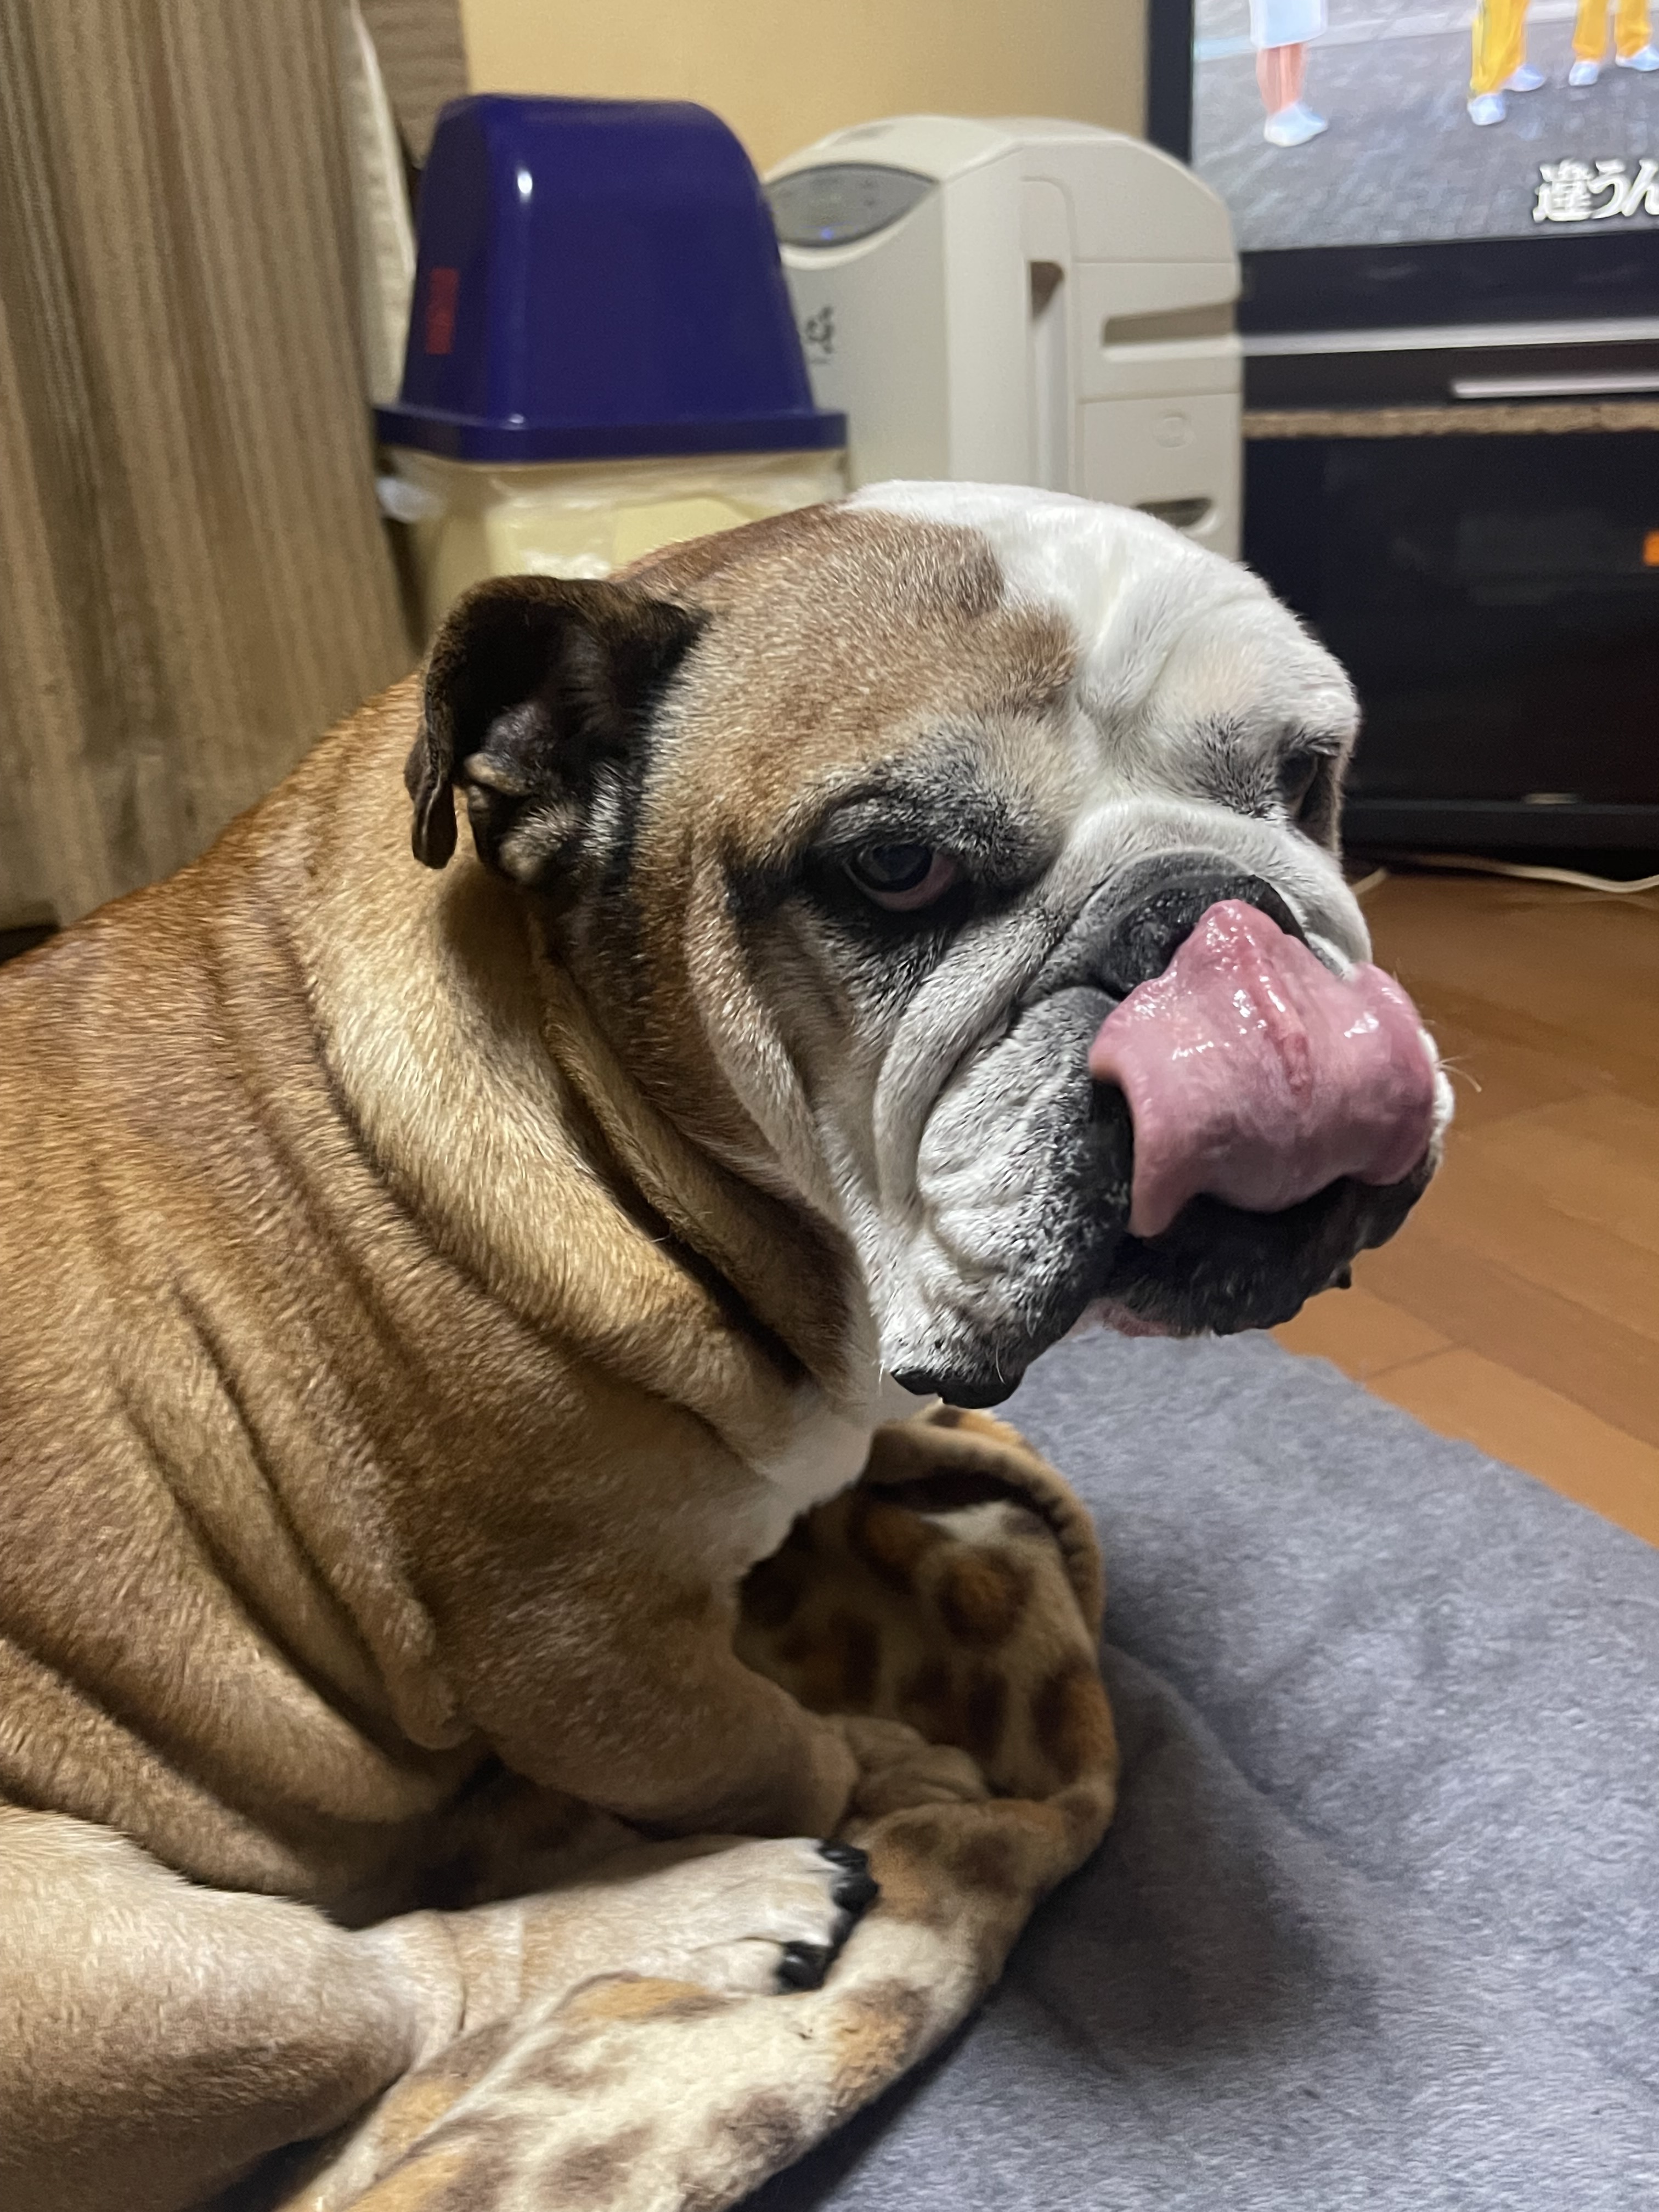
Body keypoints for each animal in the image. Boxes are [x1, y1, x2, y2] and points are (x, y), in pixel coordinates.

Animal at [0, 484, 1447, 2212]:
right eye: (894, 867)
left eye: (1305, 780)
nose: (1205, 908)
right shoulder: (588, 1657)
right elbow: (764, 1745)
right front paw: (881, 1774)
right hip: (117, 1978)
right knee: (396, 1985)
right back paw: (714, 1912)